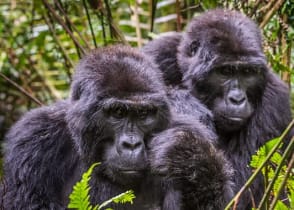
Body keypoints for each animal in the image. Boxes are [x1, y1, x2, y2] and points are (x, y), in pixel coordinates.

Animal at [1, 45, 232, 209]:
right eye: (118, 113)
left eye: (143, 114)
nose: (131, 144)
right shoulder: (33, 138)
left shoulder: (194, 129)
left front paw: (188, 157)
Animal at [142, 9, 292, 209]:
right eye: (225, 71)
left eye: (247, 72)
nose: (237, 99)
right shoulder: (157, 54)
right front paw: (184, 103)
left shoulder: (275, 103)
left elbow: (244, 197)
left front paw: (187, 151)